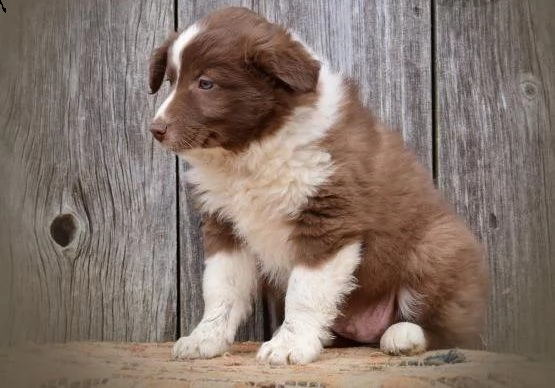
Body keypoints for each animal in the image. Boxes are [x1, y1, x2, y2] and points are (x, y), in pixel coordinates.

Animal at [149, 6, 490, 364]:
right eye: (171, 81)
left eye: (206, 83)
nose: (155, 129)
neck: (252, 149)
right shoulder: (225, 225)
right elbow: (221, 288)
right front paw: (205, 338)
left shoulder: (328, 221)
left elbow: (305, 291)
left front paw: (289, 345)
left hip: (436, 248)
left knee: (455, 333)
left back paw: (404, 335)